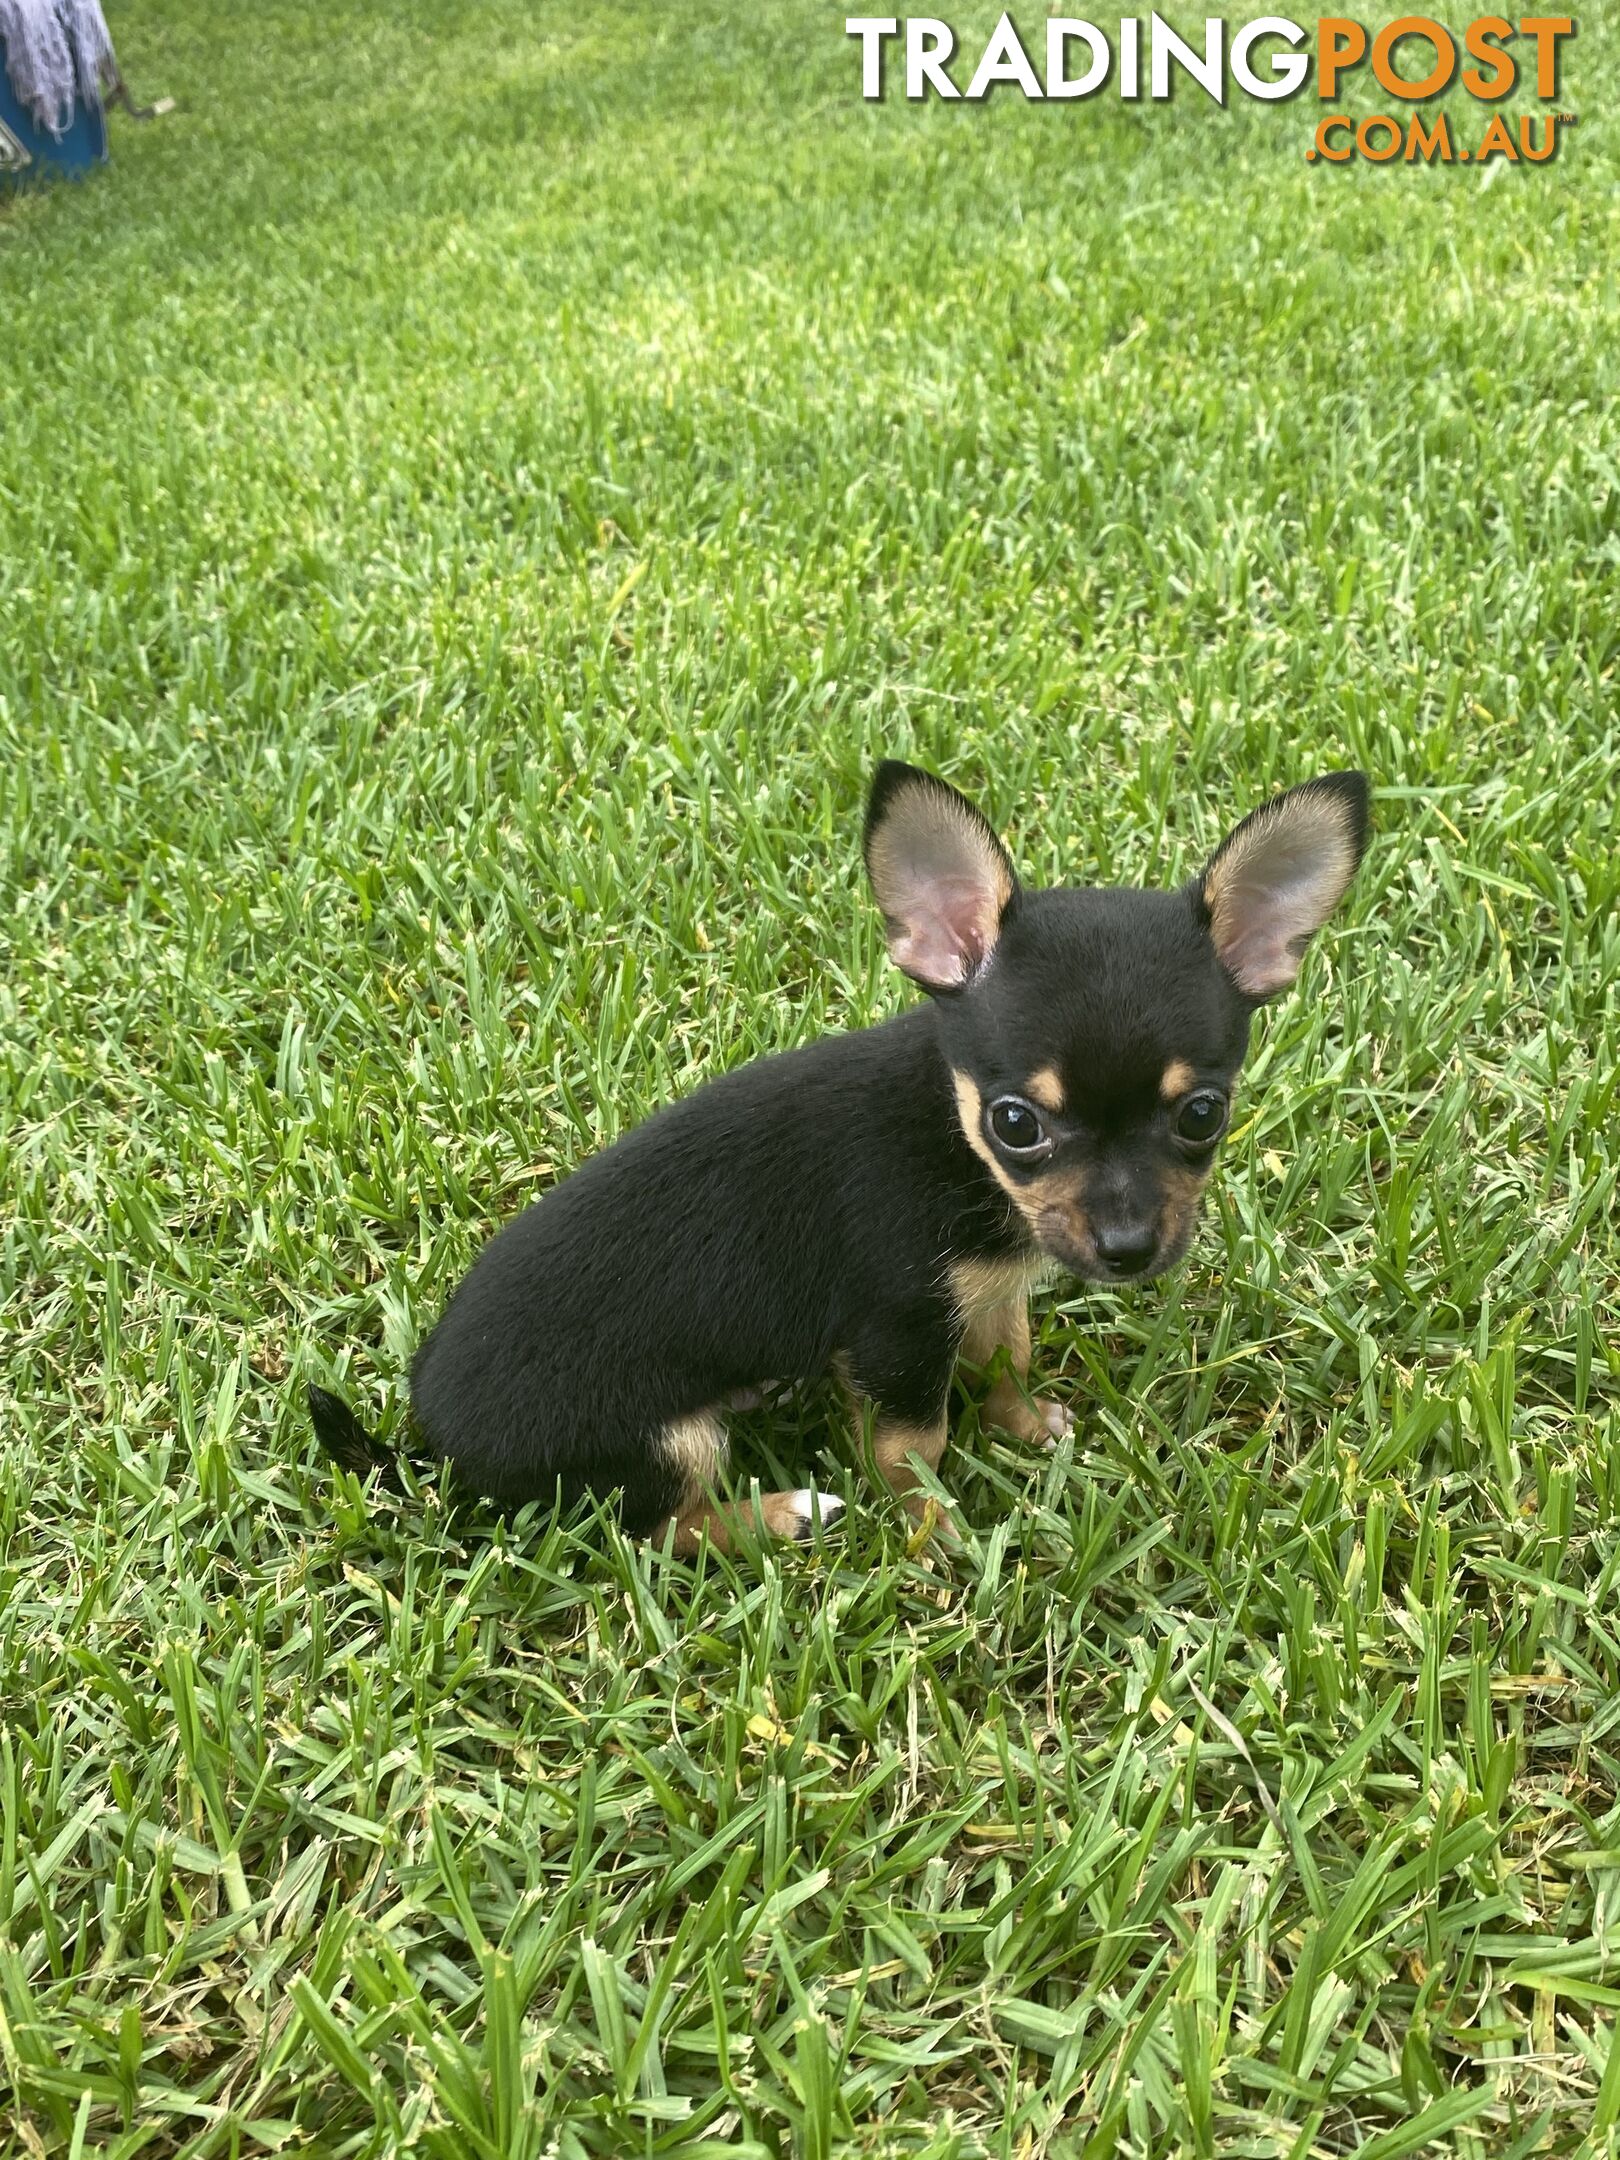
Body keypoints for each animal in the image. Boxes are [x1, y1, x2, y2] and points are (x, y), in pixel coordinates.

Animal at [306, 760, 1373, 1555]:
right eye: (1017, 1123)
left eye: (1201, 1113)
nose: (1127, 1248)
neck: (956, 1138)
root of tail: (433, 1451)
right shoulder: (900, 1329)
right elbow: (913, 1443)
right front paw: (934, 1531)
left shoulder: (983, 1293)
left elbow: (1008, 1358)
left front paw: (1027, 1427)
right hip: (664, 1445)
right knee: (659, 1532)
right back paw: (785, 1515)